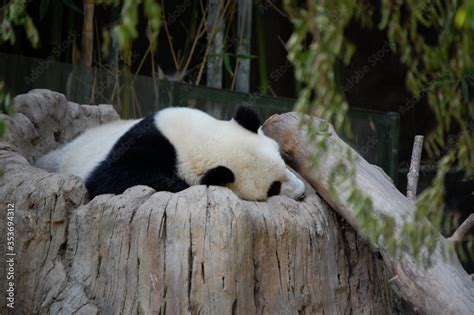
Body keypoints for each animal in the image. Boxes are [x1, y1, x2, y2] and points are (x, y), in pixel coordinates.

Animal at [36, 105, 304, 200]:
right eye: (273, 188)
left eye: (283, 163)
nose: (302, 192)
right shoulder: (147, 138)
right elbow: (108, 177)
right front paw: (179, 185)